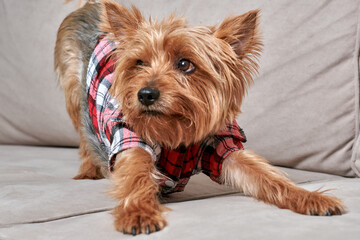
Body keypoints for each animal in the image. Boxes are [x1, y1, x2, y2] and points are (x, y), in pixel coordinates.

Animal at [54, 0, 346, 235]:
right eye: (139, 63)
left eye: (185, 64)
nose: (145, 94)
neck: (176, 131)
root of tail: (90, 6)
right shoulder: (129, 136)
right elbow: (136, 173)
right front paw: (138, 212)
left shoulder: (220, 145)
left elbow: (265, 175)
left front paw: (310, 197)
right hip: (74, 89)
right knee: (84, 133)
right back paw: (89, 170)